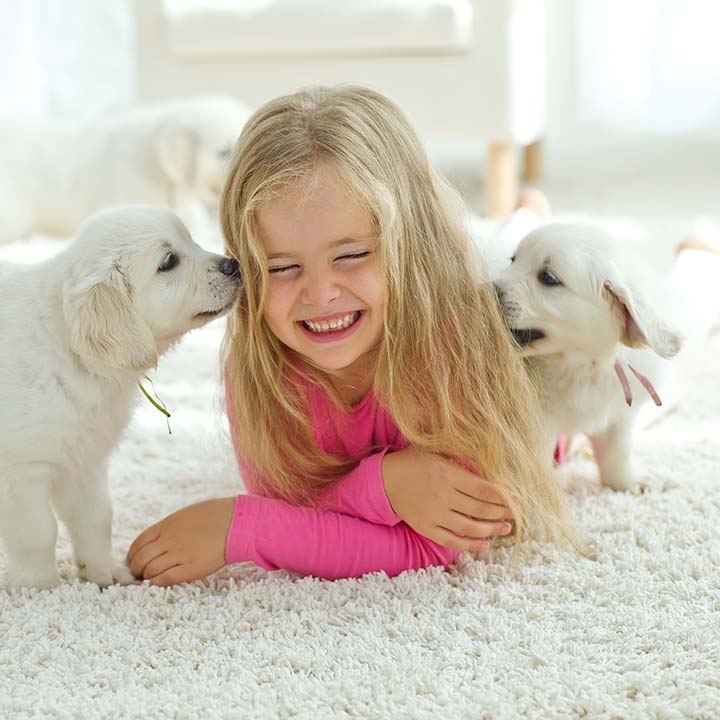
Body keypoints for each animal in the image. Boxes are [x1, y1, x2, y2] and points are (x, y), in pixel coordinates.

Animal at [0, 205, 242, 588]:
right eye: (168, 262)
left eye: (190, 239)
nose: (233, 265)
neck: (71, 350)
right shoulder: (22, 470)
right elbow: (37, 532)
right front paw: (39, 586)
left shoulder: (85, 459)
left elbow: (97, 517)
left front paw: (103, 573)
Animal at [492, 224, 684, 496]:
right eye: (513, 260)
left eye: (548, 278)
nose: (483, 289)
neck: (583, 362)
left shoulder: (620, 413)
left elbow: (617, 451)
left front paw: (628, 481)